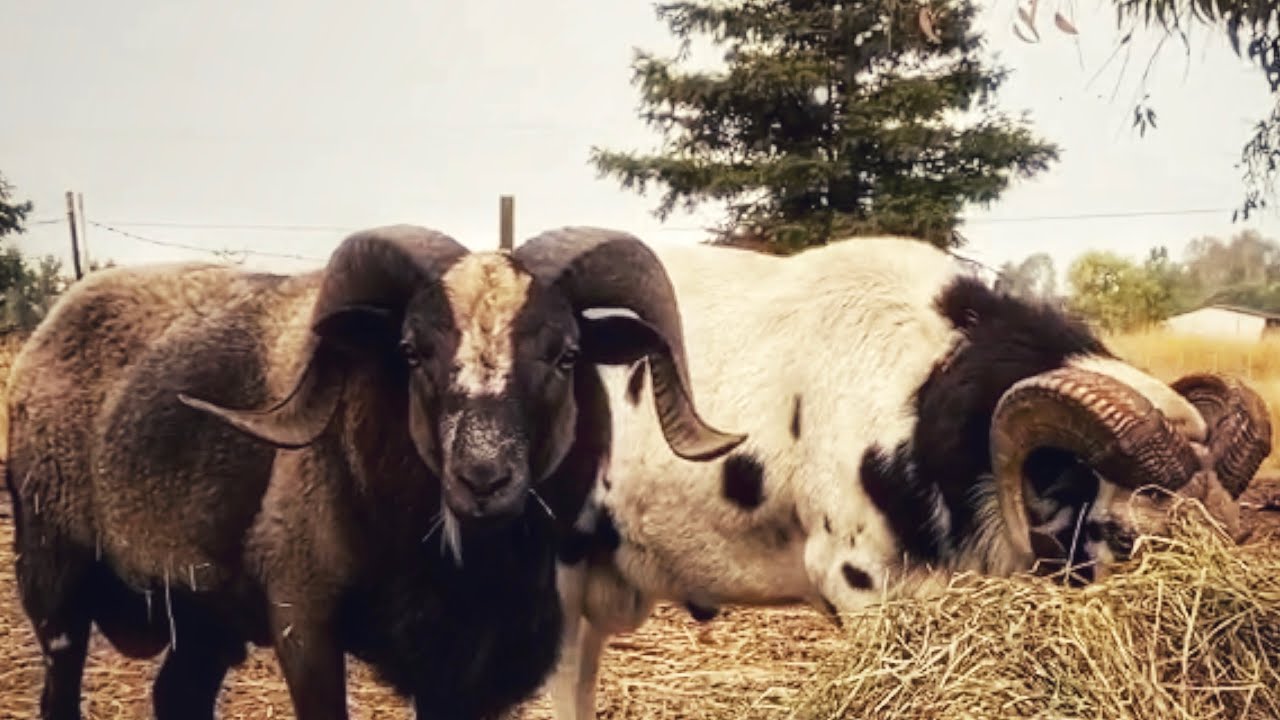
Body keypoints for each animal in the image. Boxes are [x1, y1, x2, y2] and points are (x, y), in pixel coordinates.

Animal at [3, 224, 744, 720]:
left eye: (566, 355)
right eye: (411, 351)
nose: (482, 478)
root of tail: (57, 318)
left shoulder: (464, 670)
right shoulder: (302, 621)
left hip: (200, 609)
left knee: (177, 694)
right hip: (53, 575)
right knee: (60, 687)